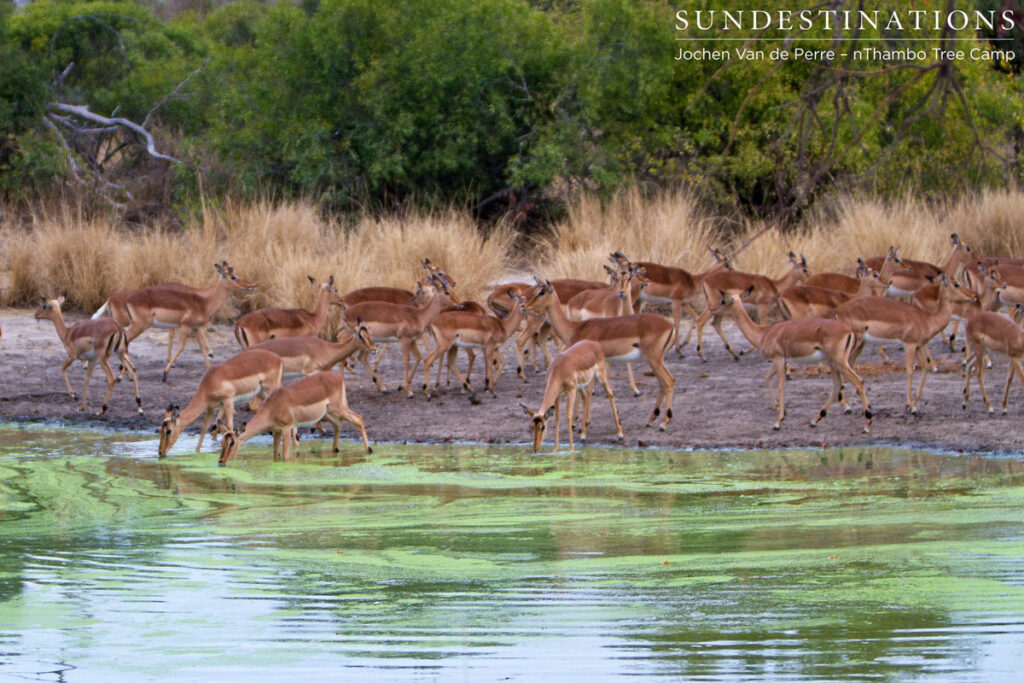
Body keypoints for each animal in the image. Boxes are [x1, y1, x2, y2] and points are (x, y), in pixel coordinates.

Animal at [94, 262, 257, 381]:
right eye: (233, 276)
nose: (251, 286)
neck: (204, 302)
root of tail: (122, 299)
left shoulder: (195, 328)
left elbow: (202, 348)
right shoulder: (184, 326)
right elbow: (182, 347)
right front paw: (165, 374)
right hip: (138, 326)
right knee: (124, 341)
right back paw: (124, 374)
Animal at [218, 371, 371, 465]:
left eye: (232, 443)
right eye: (221, 442)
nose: (221, 461)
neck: (272, 406)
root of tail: (338, 377)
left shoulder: (287, 428)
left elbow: (285, 455)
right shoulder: (277, 431)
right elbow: (275, 454)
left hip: (338, 409)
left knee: (359, 419)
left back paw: (369, 450)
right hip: (328, 413)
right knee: (338, 424)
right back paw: (335, 450)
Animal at [524, 278, 676, 430]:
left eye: (541, 292)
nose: (524, 306)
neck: (575, 329)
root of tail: (670, 326)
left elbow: (587, 390)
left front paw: (580, 422)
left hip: (653, 359)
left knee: (668, 381)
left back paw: (663, 423)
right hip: (656, 360)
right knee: (665, 383)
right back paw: (651, 419)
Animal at [718, 287, 871, 431]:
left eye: (723, 301)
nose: (715, 311)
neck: (764, 333)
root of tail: (849, 331)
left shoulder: (778, 358)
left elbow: (780, 385)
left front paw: (778, 422)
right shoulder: (781, 360)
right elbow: (767, 378)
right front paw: (779, 409)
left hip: (839, 363)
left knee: (859, 382)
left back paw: (867, 424)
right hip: (834, 363)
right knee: (837, 386)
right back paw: (815, 420)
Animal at [832, 274, 976, 415]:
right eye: (956, 284)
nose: (973, 296)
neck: (926, 319)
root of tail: (837, 311)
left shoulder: (918, 346)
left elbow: (926, 366)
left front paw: (912, 404)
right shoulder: (910, 344)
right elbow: (910, 371)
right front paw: (911, 407)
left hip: (860, 344)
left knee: (848, 365)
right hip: (853, 343)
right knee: (841, 366)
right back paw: (847, 407)